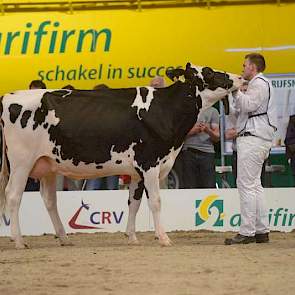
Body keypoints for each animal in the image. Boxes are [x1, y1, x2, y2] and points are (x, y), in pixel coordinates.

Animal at [0, 63, 243, 249]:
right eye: (209, 72)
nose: (240, 77)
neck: (165, 110)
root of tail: (8, 97)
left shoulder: (137, 171)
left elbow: (133, 202)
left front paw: (132, 237)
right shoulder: (150, 163)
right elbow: (155, 201)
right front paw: (163, 238)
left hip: (48, 165)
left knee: (50, 200)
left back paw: (64, 238)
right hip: (21, 163)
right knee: (13, 195)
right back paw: (19, 241)